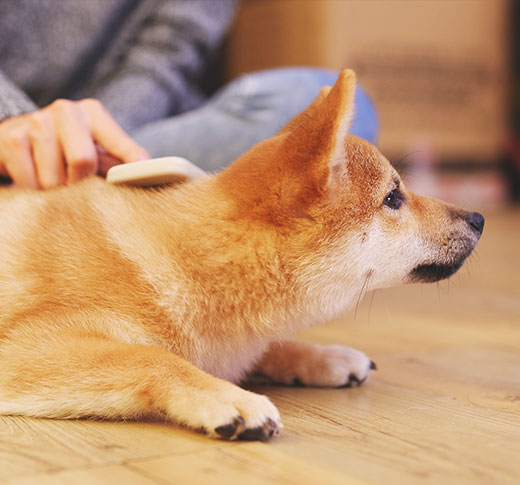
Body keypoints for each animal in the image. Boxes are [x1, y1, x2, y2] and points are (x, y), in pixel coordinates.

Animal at [0, 71, 484, 438]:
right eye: (393, 198)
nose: (479, 218)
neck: (200, 262)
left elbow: (268, 346)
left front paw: (320, 357)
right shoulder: (24, 347)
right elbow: (152, 357)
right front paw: (227, 397)